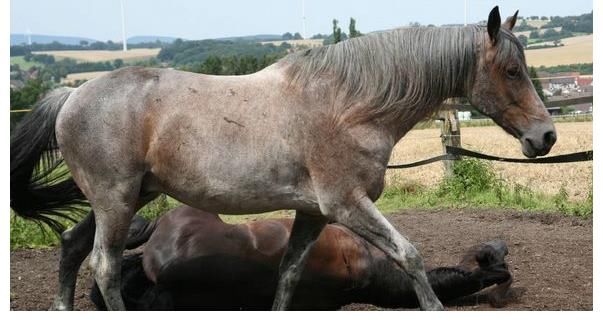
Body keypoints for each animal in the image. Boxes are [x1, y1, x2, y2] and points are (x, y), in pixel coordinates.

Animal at [10, 6, 556, 312]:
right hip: (117, 201)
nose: (546, 136)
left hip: (125, 200)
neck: (347, 105)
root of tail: (71, 95)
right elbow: (411, 255)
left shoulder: (313, 214)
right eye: (511, 71)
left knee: (71, 245)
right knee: (101, 265)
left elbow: (289, 275)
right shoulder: (347, 205)